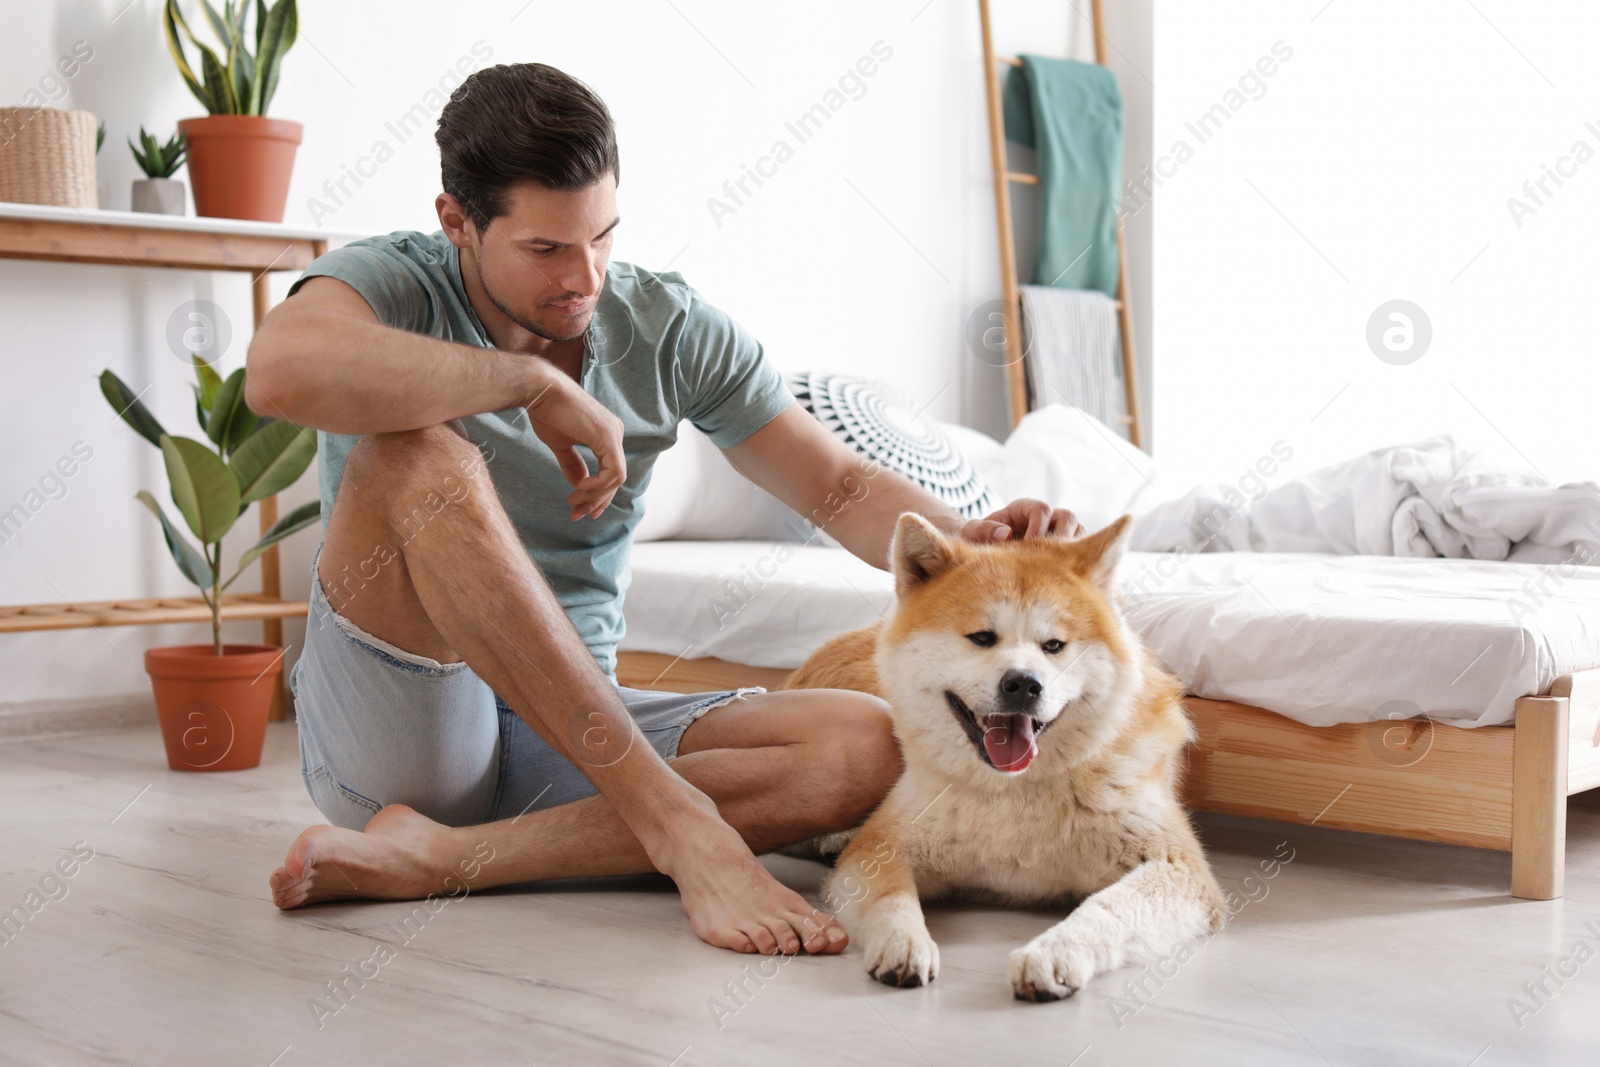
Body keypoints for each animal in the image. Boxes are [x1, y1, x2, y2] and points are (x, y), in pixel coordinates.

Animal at [777, 511, 1222, 1004]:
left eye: (1054, 646)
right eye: (982, 638)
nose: (1023, 684)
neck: (1016, 793)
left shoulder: (1178, 866)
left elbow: (1107, 908)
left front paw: (1054, 953)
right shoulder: (880, 847)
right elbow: (891, 898)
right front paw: (903, 942)